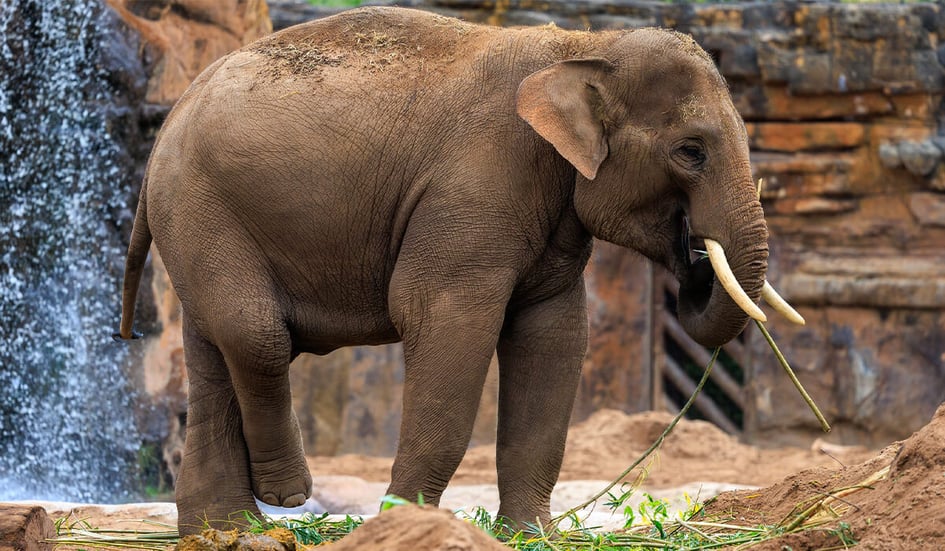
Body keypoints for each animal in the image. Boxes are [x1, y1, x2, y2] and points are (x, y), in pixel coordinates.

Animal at [116, 6, 799, 535]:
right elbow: (445, 321)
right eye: (690, 151)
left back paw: (229, 532)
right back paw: (284, 498)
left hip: (198, 219)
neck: (583, 48)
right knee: (256, 334)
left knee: (212, 354)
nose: (694, 259)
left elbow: (554, 339)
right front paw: (404, 523)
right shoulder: (473, 189)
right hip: (202, 209)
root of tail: (169, 122)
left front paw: (533, 535)